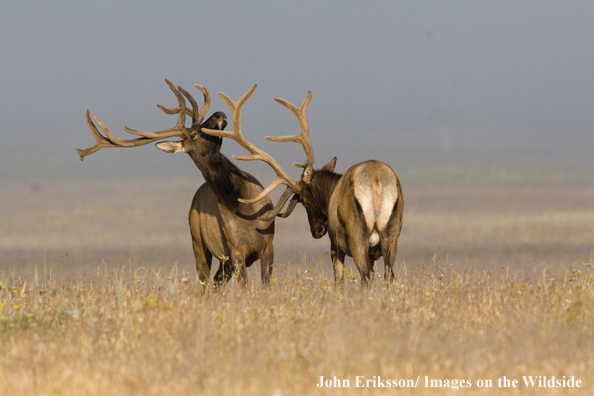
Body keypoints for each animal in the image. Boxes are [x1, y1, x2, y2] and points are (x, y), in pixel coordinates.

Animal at [74, 79, 276, 284]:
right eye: (193, 134)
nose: (219, 113)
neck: (241, 205)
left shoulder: (268, 245)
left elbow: (265, 284)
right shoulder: (235, 251)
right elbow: (245, 286)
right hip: (199, 243)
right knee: (206, 282)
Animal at [202, 91, 402, 284]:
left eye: (304, 201)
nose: (317, 230)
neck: (330, 192)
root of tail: (376, 182)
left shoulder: (335, 245)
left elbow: (338, 280)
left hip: (357, 238)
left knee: (366, 276)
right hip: (391, 237)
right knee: (389, 275)